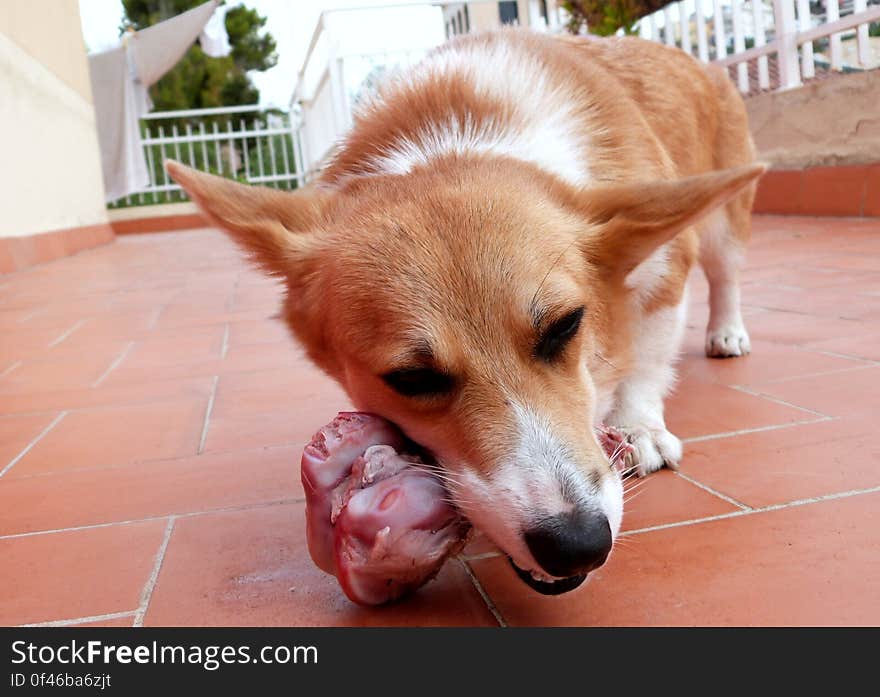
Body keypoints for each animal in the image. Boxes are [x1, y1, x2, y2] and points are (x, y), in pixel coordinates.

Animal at [167, 27, 764, 592]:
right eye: (411, 378)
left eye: (565, 326)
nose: (577, 545)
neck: (455, 138)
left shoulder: (666, 264)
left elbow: (648, 357)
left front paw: (639, 428)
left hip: (722, 224)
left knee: (726, 275)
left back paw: (727, 334)